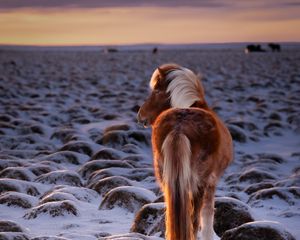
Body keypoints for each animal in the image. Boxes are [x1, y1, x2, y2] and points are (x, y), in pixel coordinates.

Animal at [137, 63, 233, 240]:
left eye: (156, 91)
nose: (140, 116)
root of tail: (179, 127)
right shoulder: (211, 183)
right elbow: (207, 217)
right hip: (198, 184)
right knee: (194, 221)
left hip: (167, 180)